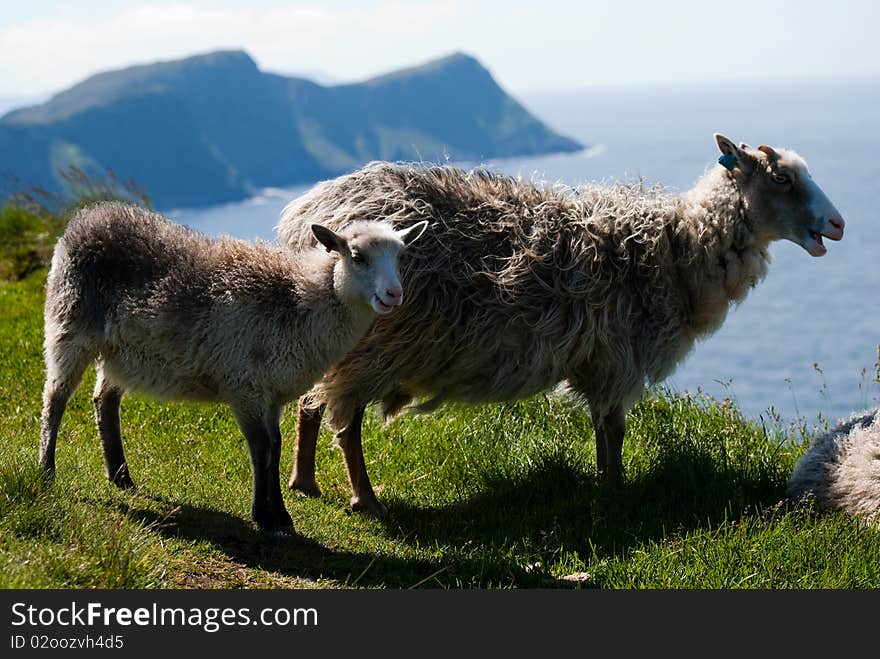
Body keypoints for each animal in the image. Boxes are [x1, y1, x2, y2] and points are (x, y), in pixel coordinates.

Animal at [37, 201, 430, 532]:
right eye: (358, 257)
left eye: (401, 256)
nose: (394, 294)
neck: (301, 303)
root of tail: (88, 216)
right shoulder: (246, 386)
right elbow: (261, 448)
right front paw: (265, 516)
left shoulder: (273, 393)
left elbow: (276, 446)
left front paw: (279, 515)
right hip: (69, 326)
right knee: (55, 398)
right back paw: (46, 469)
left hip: (121, 352)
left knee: (104, 400)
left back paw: (120, 476)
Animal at [276, 133, 844, 516]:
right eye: (781, 179)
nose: (838, 224)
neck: (678, 247)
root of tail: (308, 214)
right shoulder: (619, 356)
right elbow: (614, 427)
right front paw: (615, 492)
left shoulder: (600, 359)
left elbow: (600, 426)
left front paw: (602, 483)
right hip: (372, 343)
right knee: (346, 425)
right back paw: (365, 500)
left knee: (310, 405)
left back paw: (303, 482)